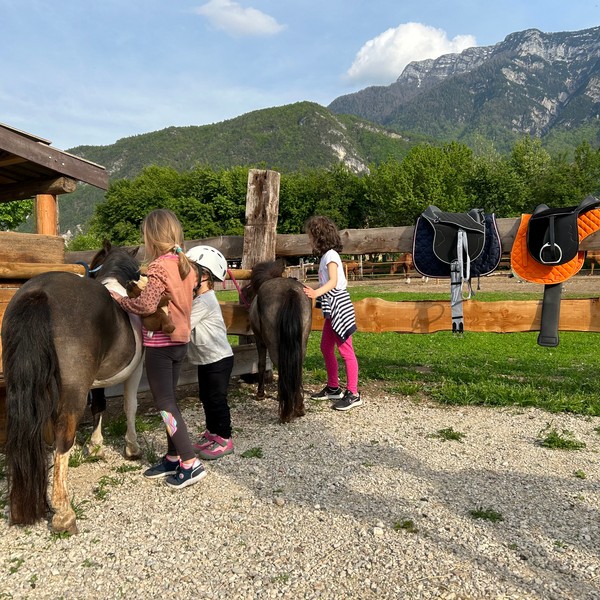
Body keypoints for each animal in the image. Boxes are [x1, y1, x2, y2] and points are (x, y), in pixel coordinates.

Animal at [2, 244, 143, 536]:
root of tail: (40, 291)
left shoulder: (96, 383)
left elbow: (99, 406)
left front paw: (96, 447)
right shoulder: (134, 372)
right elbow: (130, 407)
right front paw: (132, 448)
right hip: (72, 394)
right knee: (63, 439)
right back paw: (64, 513)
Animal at [248, 260, 314, 424]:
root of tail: (289, 290)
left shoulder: (260, 341)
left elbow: (261, 365)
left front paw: (260, 394)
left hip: (273, 346)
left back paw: (287, 411)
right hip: (302, 344)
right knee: (296, 368)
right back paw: (299, 407)